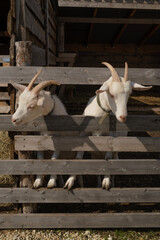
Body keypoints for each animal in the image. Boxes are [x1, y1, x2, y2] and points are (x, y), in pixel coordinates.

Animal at [63, 62, 152, 191]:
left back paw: (111, 183)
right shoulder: (84, 135)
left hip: (116, 153)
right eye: (111, 94)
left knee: (114, 163)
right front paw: (70, 181)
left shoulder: (111, 138)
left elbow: (108, 157)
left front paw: (106, 181)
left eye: (129, 94)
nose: (123, 117)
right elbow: (78, 157)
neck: (101, 115)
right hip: (95, 156)